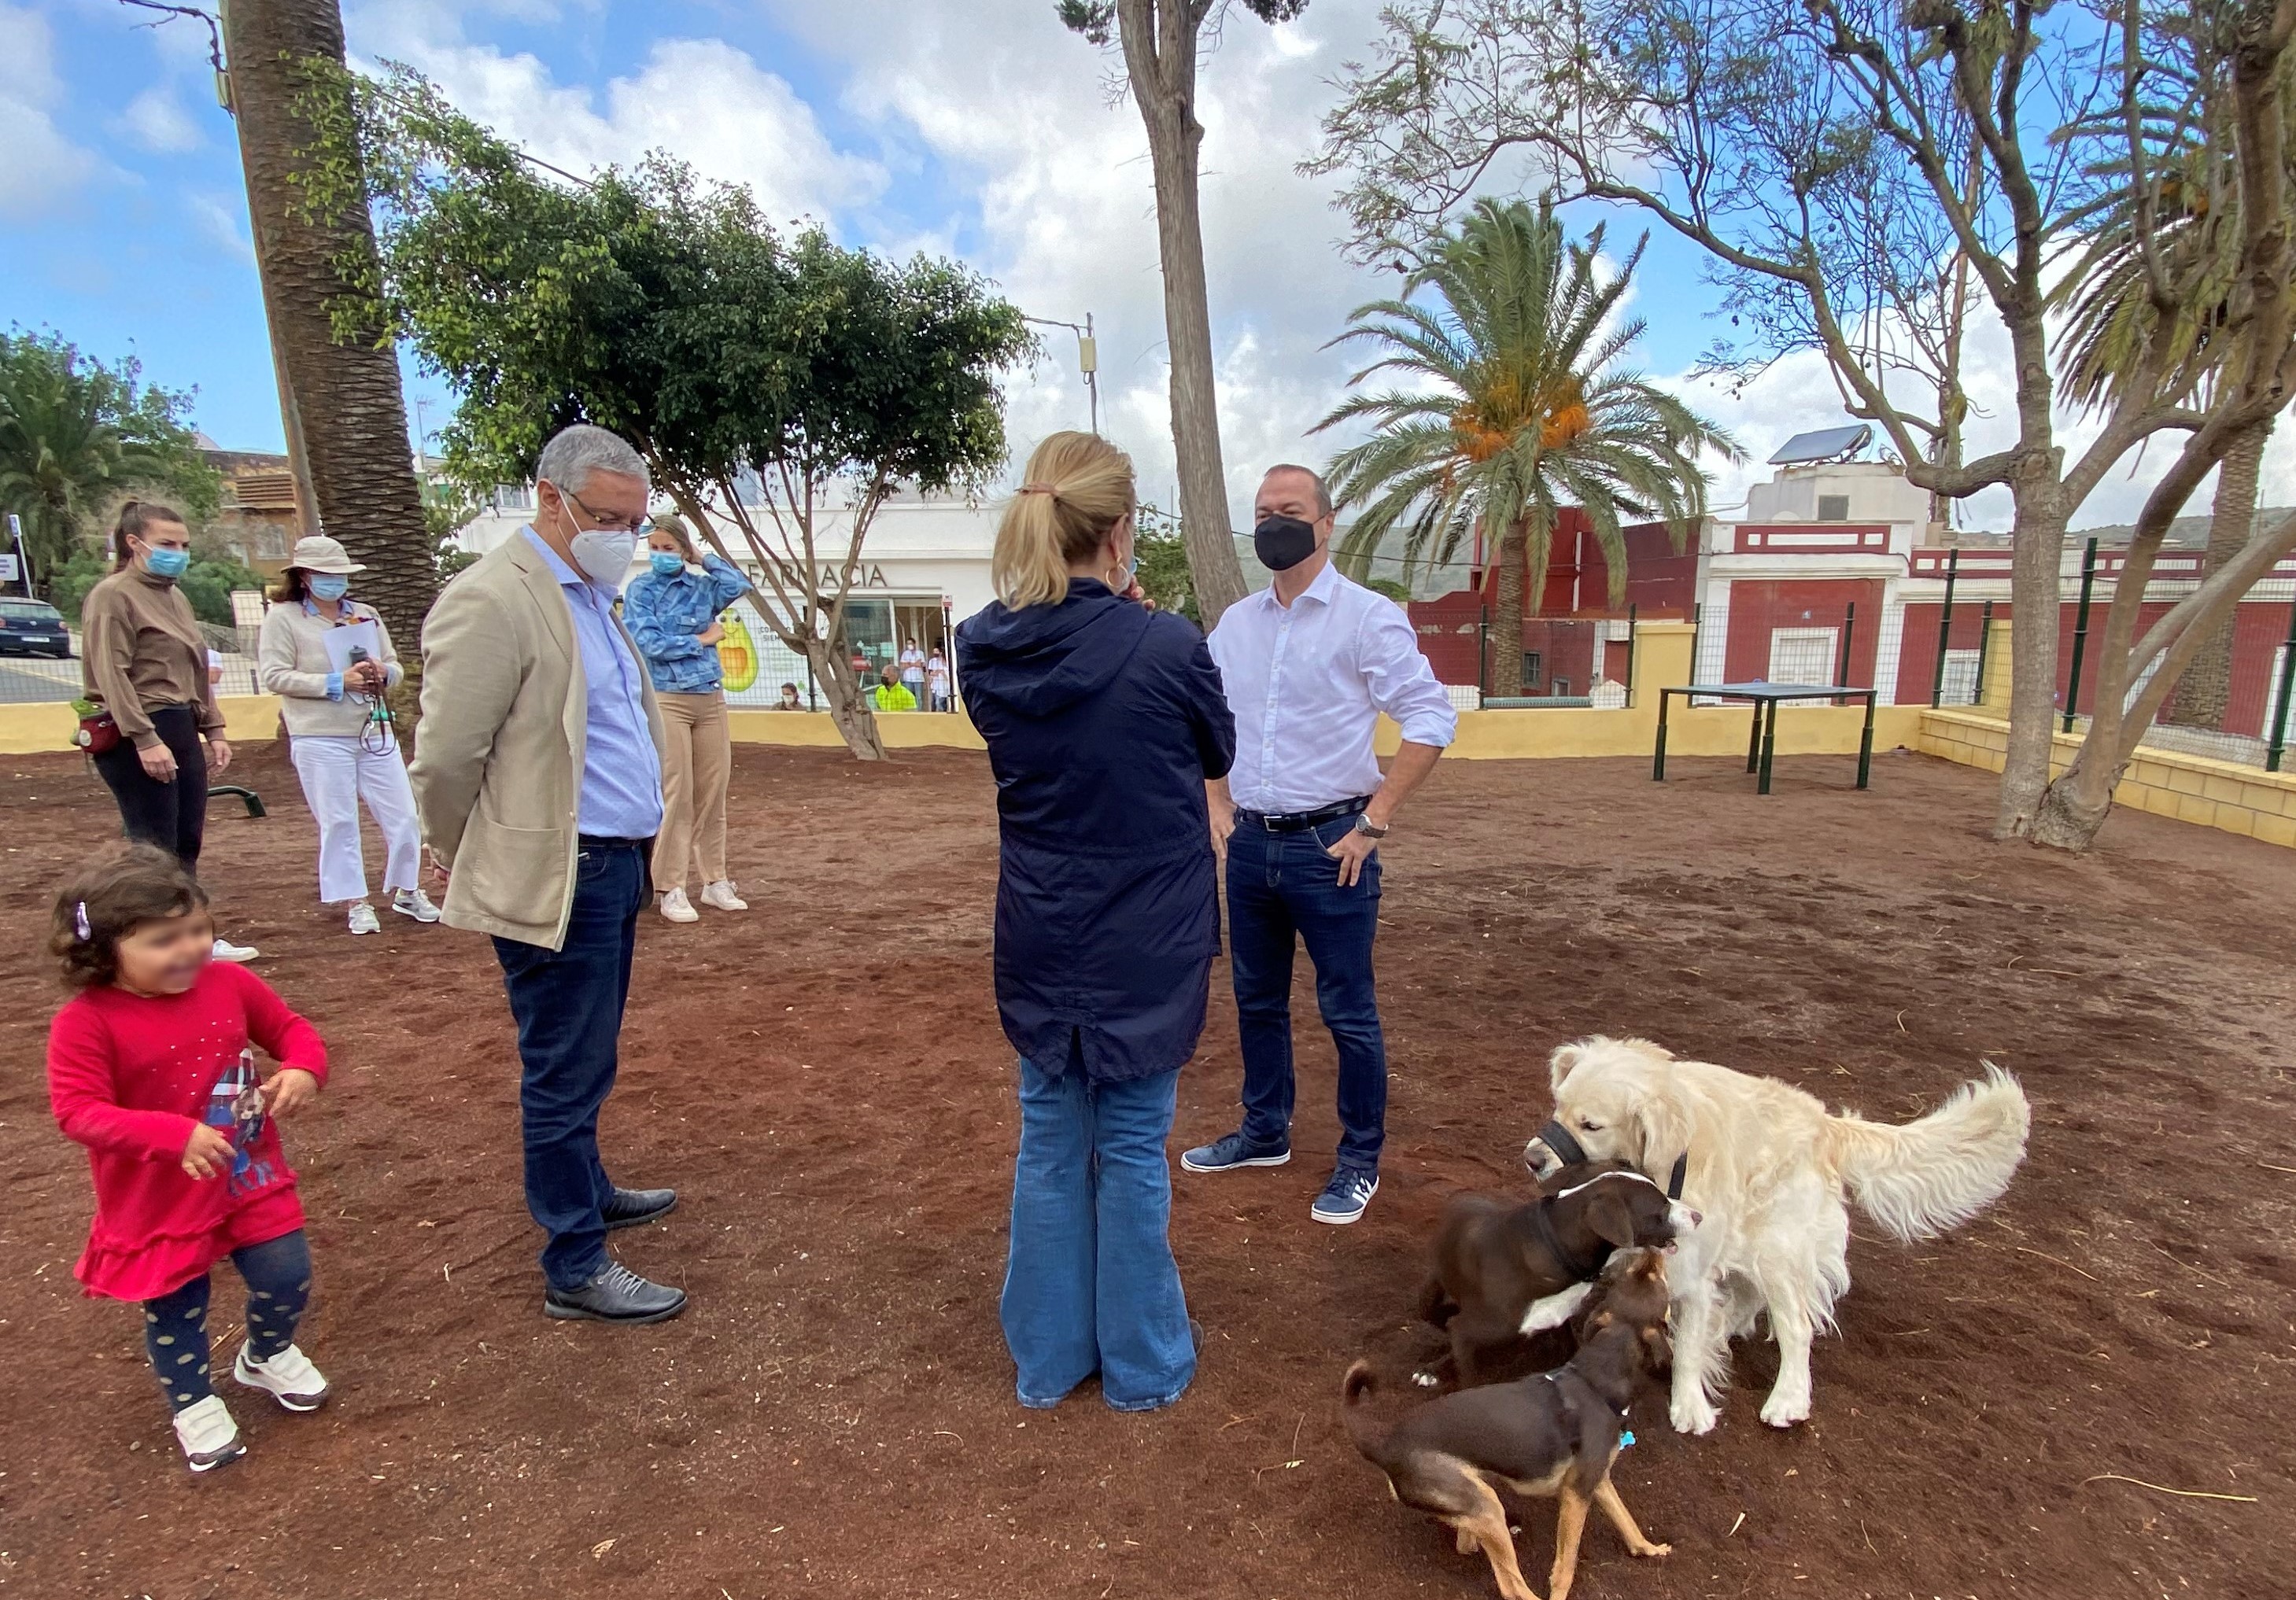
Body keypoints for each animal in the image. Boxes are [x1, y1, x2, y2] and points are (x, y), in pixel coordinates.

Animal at [1341, 1248, 1671, 1598]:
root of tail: (1383, 1443)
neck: (1595, 1380)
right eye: (1652, 1278)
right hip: (1485, 1506)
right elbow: (1566, 1564)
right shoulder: (1575, 1494)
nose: (1652, 1251)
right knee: (1510, 1584)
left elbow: (1626, 1520)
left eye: (1633, 1274)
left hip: (1477, 1501)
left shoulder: (1596, 1481)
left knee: (1469, 1545)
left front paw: (1649, 1550)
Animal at [1423, 1161, 1699, 1386]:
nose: (1698, 1216)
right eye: (1661, 1206)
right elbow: (1468, 1377)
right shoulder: (1470, 1329)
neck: (1557, 1248)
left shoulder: (1561, 1319)